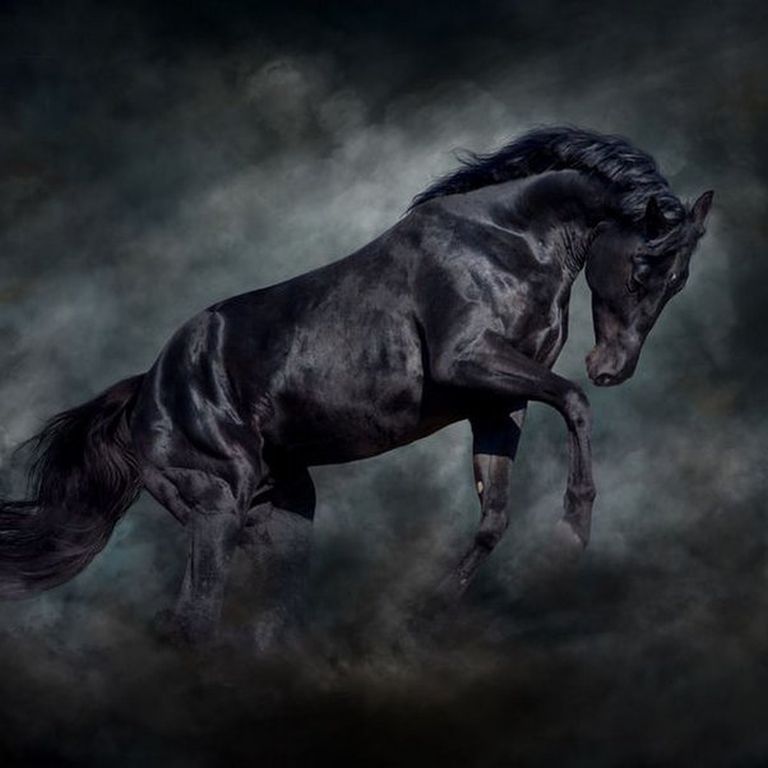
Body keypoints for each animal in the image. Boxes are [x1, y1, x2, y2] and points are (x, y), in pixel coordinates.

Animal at [0, 126, 713, 648]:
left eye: (679, 281)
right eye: (644, 267)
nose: (612, 367)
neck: (506, 240)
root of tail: (148, 389)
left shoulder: (497, 402)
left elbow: (494, 515)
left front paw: (433, 609)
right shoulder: (469, 362)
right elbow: (574, 402)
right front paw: (573, 532)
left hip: (280, 516)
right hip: (216, 506)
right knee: (193, 621)